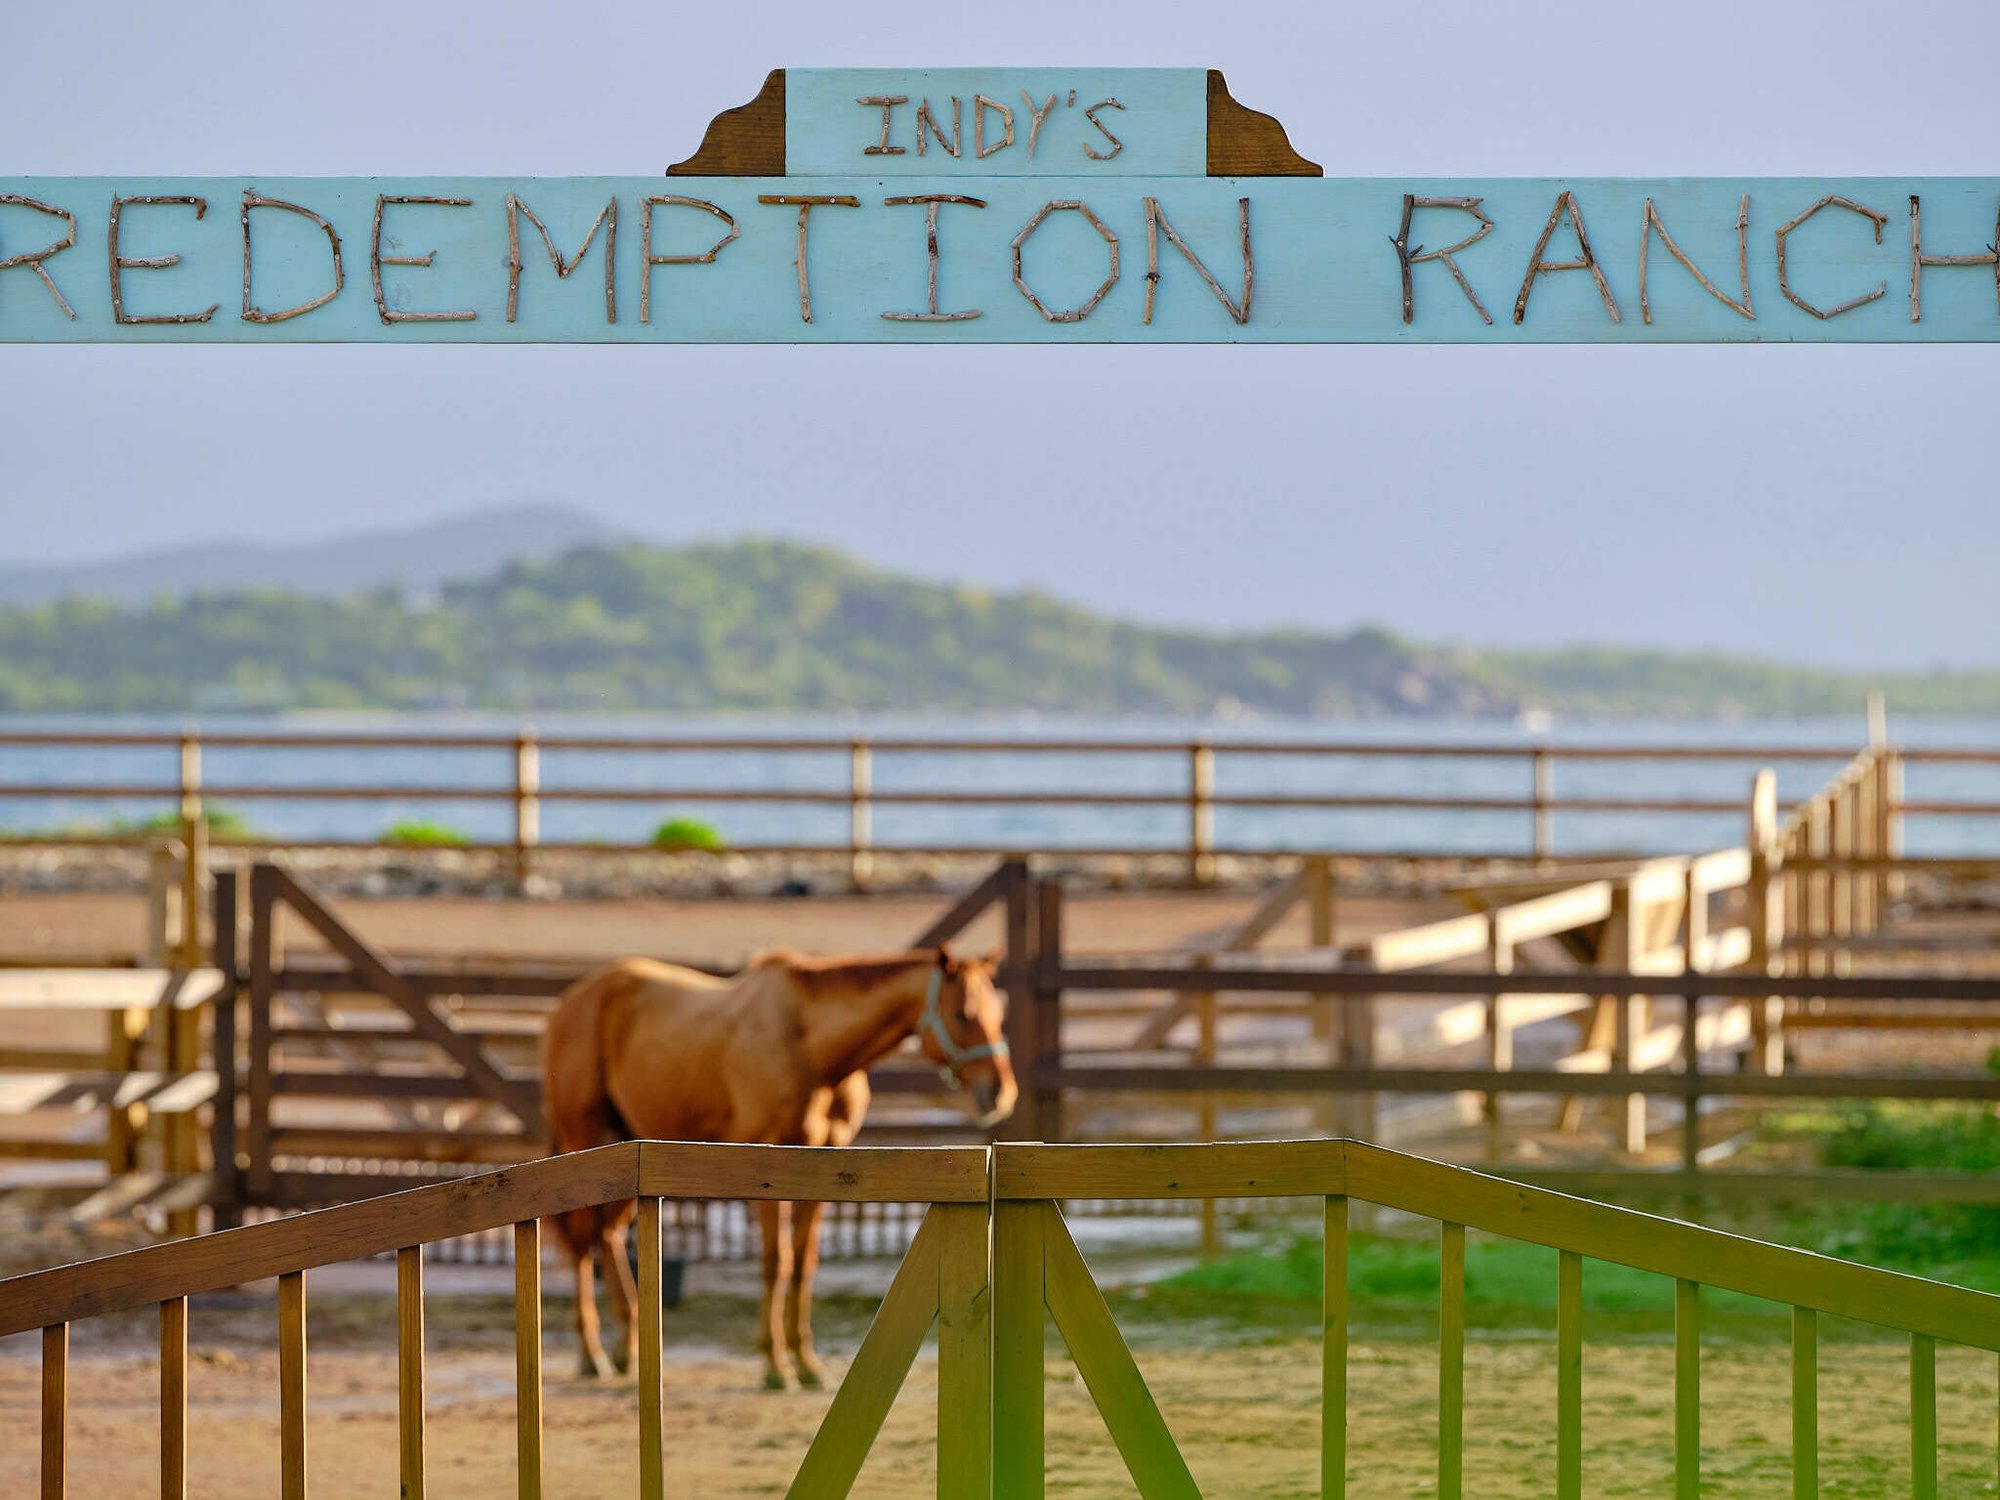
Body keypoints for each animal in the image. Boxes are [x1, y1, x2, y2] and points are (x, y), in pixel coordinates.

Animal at [541, 945, 1017, 1387]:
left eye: (999, 1012)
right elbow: (777, 1261)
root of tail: (570, 1004)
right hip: (588, 1143)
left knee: (606, 1235)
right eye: (964, 1013)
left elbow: (804, 1264)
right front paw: (774, 1365)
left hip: (626, 1148)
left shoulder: (827, 1168)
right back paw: (591, 1353)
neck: (810, 1049)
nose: (1000, 1091)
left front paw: (805, 1361)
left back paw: (623, 1348)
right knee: (584, 1241)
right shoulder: (768, 1173)